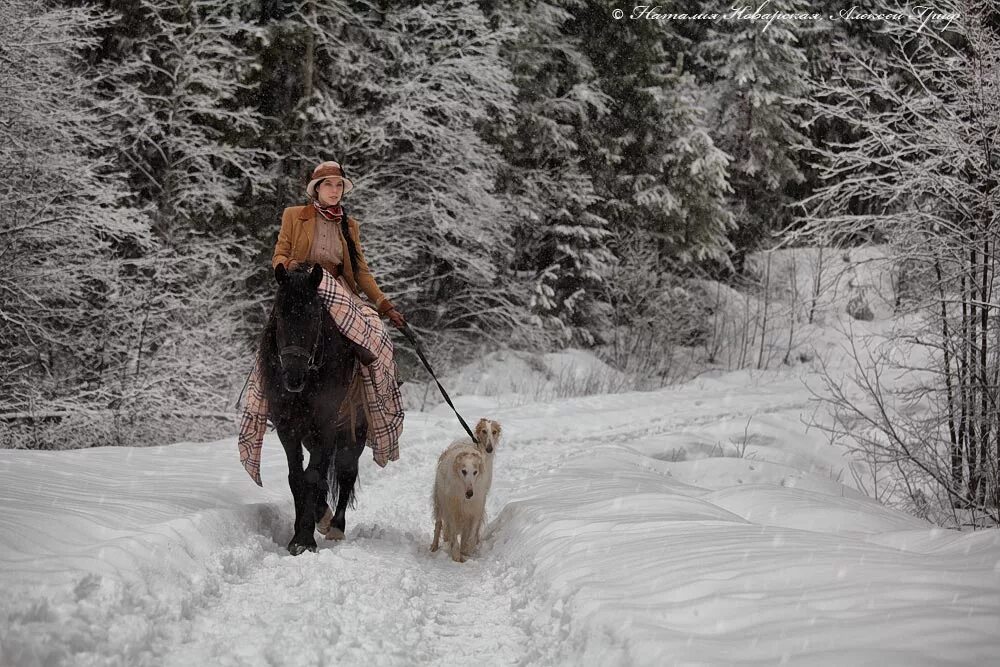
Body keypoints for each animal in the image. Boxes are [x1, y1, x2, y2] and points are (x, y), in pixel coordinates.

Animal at [258, 264, 368, 556]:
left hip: (353, 433)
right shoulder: (288, 429)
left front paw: (305, 538)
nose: (293, 377)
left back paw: (336, 526)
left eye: (314, 316)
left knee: (345, 471)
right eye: (280, 314)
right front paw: (299, 534)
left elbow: (313, 476)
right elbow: (297, 477)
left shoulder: (326, 427)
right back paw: (323, 516)